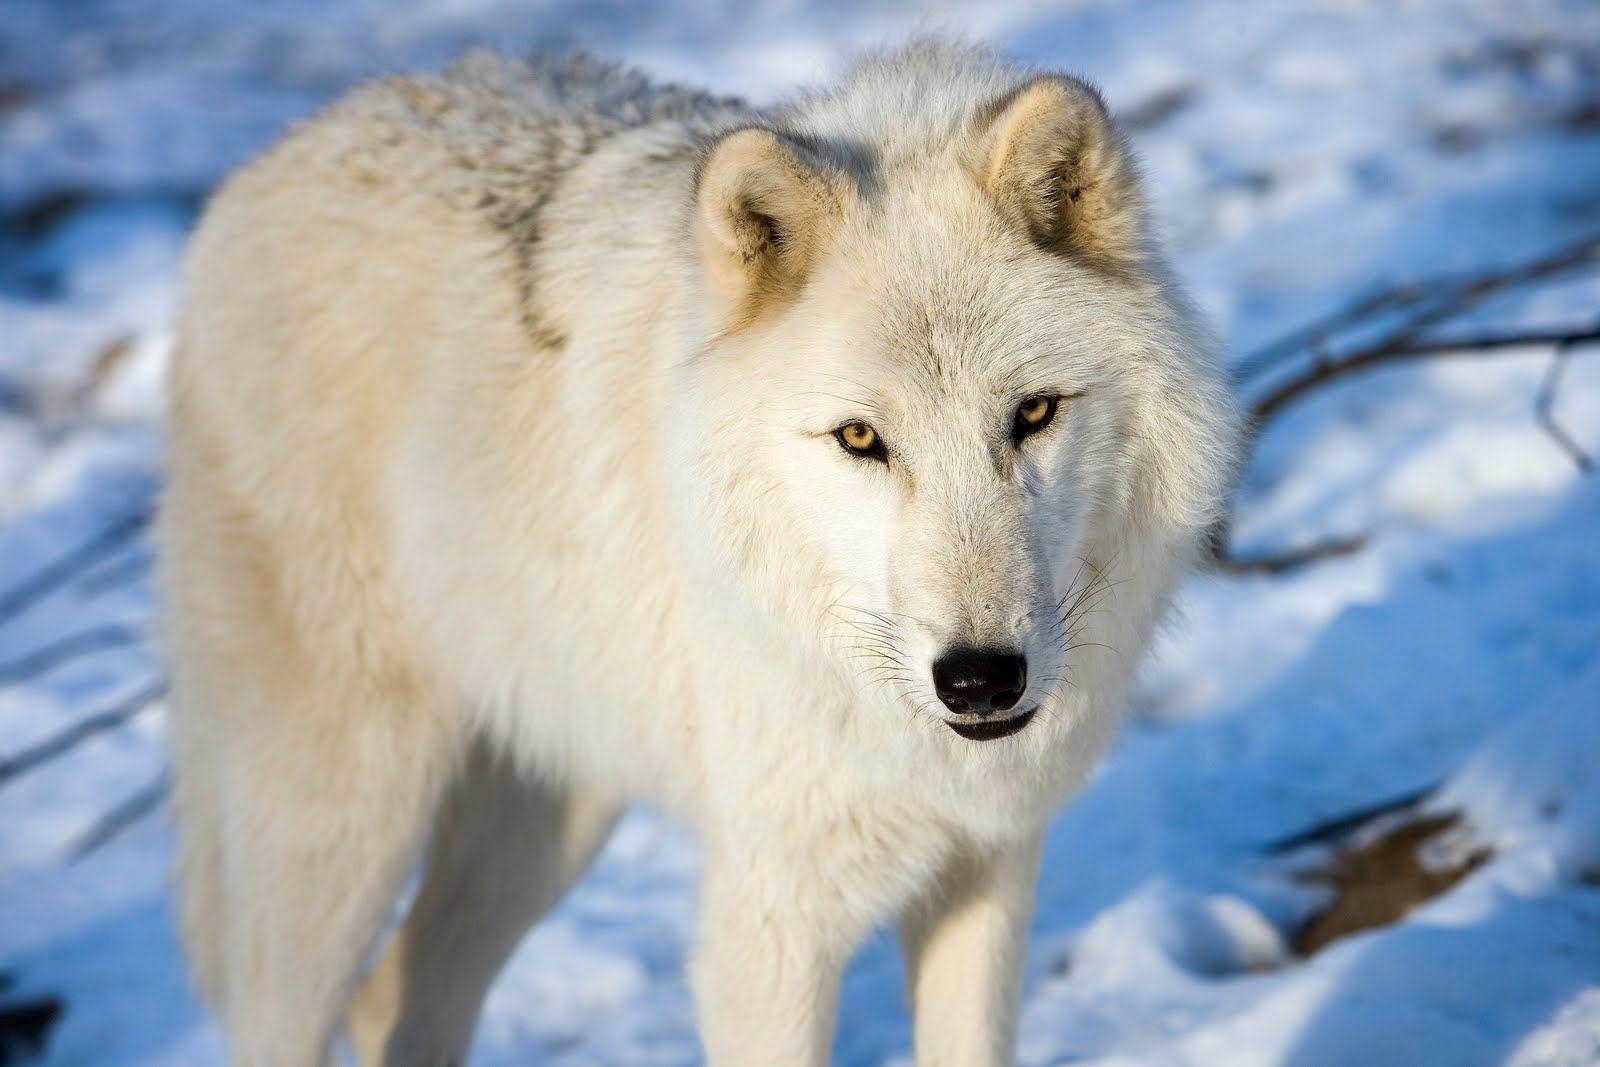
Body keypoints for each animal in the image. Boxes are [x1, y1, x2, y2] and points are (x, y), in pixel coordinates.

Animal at [159, 37, 1235, 1062]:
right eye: (860, 438)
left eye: (1034, 413)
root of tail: (262, 168)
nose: (978, 679)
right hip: (341, 820)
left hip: (557, 801)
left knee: (395, 1000)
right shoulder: (772, 923)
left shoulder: (988, 869)